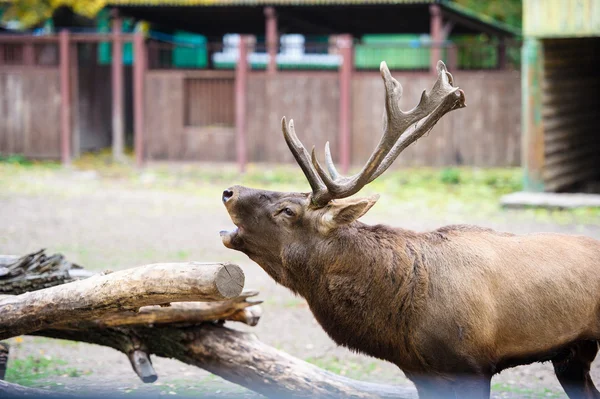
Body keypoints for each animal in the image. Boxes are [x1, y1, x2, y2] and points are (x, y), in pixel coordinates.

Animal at [220, 59, 600, 399]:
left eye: (288, 210)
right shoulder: (421, 372)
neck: (402, 323)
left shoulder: (474, 365)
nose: (229, 191)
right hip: (573, 353)